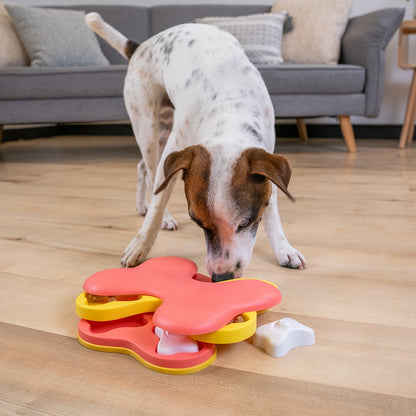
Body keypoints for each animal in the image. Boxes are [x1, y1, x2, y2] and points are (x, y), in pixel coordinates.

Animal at [86, 13, 306, 282]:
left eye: (246, 223)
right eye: (198, 222)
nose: (222, 276)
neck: (228, 109)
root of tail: (139, 46)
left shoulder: (268, 159)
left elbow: (272, 211)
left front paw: (284, 248)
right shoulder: (175, 152)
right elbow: (158, 202)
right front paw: (141, 244)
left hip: (161, 131)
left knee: (142, 168)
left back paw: (141, 206)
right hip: (147, 127)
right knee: (152, 175)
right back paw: (162, 216)